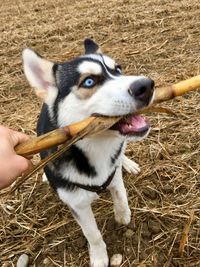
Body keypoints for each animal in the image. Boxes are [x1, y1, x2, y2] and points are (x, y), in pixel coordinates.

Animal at [22, 38, 154, 266]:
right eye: (89, 82)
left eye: (118, 69)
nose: (146, 85)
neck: (95, 146)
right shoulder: (78, 205)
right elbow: (93, 235)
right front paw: (100, 257)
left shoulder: (113, 175)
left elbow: (120, 193)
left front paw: (123, 214)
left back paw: (127, 162)